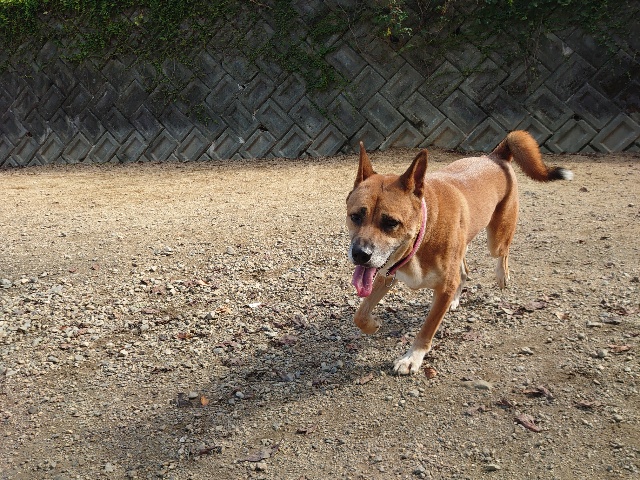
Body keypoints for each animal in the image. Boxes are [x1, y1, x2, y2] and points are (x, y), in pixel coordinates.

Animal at [346, 130, 573, 375]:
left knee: (502, 253)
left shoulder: (443, 287)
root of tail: (495, 156)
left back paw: (502, 276)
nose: (360, 254)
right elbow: (359, 315)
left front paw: (412, 357)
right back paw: (457, 298)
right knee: (464, 270)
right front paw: (373, 324)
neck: (422, 235)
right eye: (355, 216)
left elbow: (427, 329)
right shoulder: (385, 273)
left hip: (496, 240)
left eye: (390, 223)